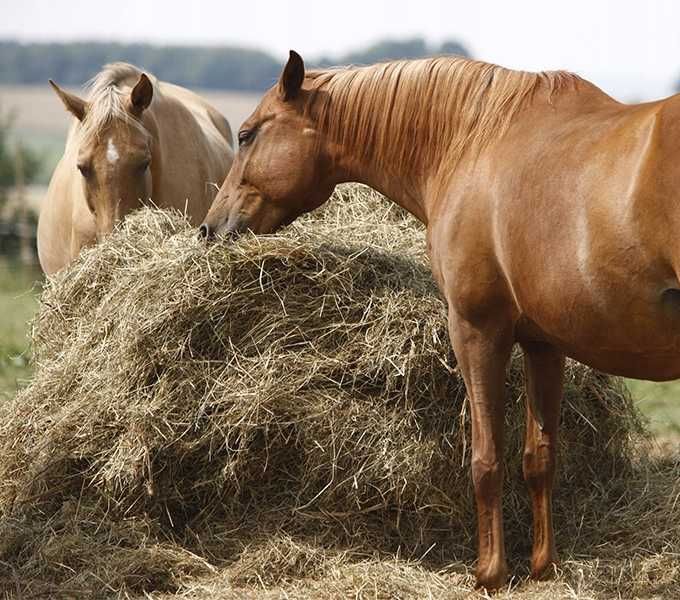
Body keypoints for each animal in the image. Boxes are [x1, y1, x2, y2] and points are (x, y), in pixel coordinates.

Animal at [198, 52, 680, 592]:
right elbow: (539, 458)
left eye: (246, 135)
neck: (473, 143)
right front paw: (542, 568)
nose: (209, 230)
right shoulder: (544, 344)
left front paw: (489, 574)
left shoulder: (475, 331)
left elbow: (486, 460)